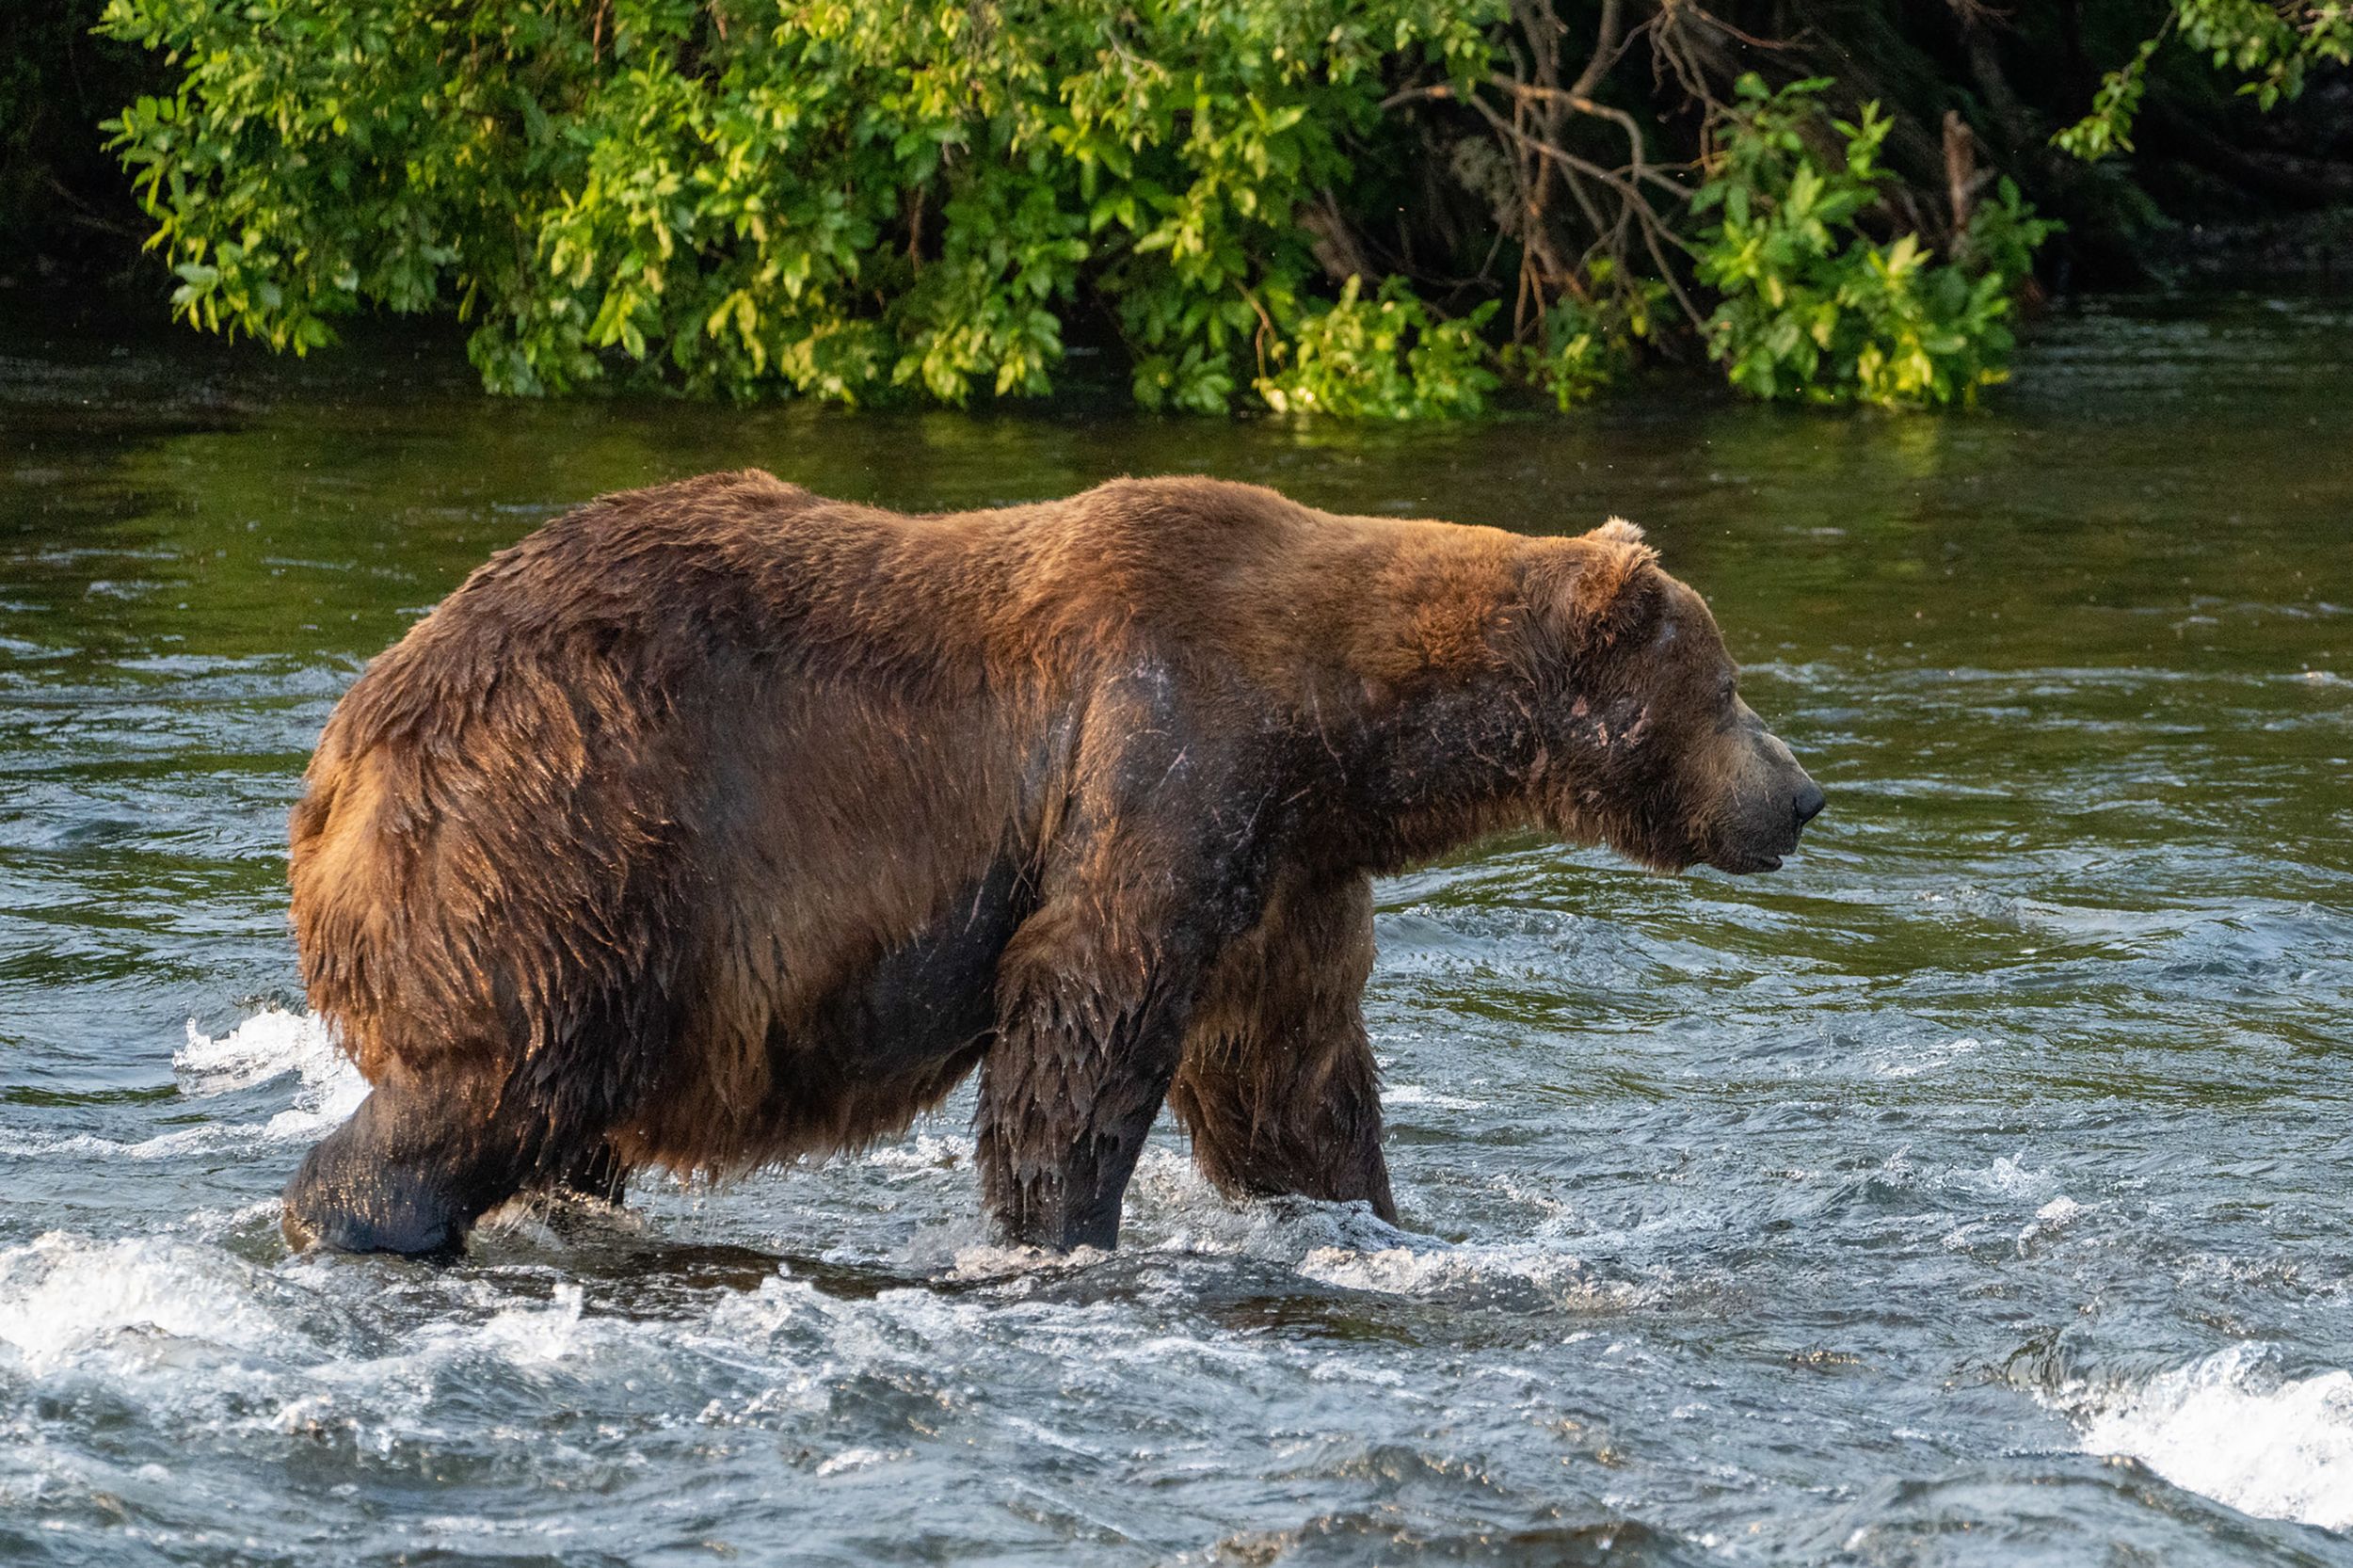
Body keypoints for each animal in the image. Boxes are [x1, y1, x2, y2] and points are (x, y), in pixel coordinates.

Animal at [275, 471, 1817, 1252]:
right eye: (1729, 687)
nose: (1801, 795)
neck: (1343, 721)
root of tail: (339, 759)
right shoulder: (1164, 747)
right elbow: (1083, 1016)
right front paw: (1060, 1226)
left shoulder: (1285, 863)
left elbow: (1288, 1070)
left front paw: (1366, 1208)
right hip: (563, 829)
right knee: (501, 1078)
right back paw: (356, 1215)